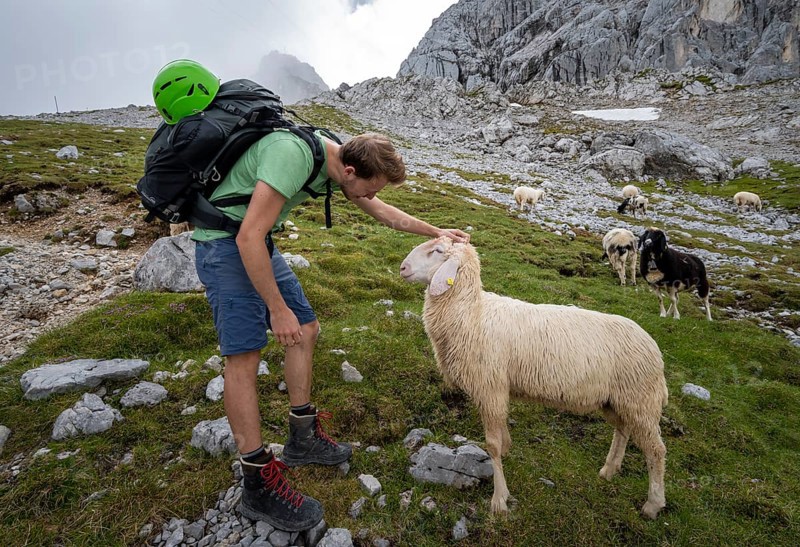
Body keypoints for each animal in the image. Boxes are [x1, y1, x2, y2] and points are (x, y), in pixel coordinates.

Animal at [400, 237, 668, 519]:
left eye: (438, 251)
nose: (403, 268)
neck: (471, 313)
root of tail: (654, 348)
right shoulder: (498, 388)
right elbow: (501, 436)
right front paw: (507, 450)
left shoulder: (489, 387)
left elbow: (492, 445)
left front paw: (499, 499)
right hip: (617, 400)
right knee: (623, 430)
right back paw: (609, 470)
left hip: (641, 399)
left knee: (655, 451)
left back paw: (653, 504)